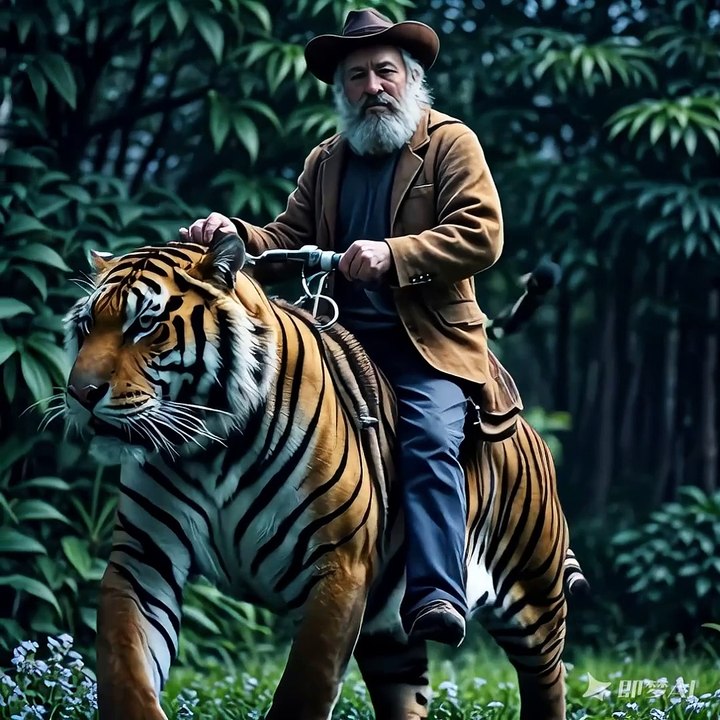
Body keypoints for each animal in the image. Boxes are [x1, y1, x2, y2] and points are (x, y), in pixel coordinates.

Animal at [63, 233, 588, 720]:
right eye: (88, 324)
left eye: (144, 325)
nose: (80, 394)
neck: (211, 447)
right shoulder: (141, 560)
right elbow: (125, 667)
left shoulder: (339, 565)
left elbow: (306, 686)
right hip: (390, 639)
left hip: (536, 597)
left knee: (549, 682)